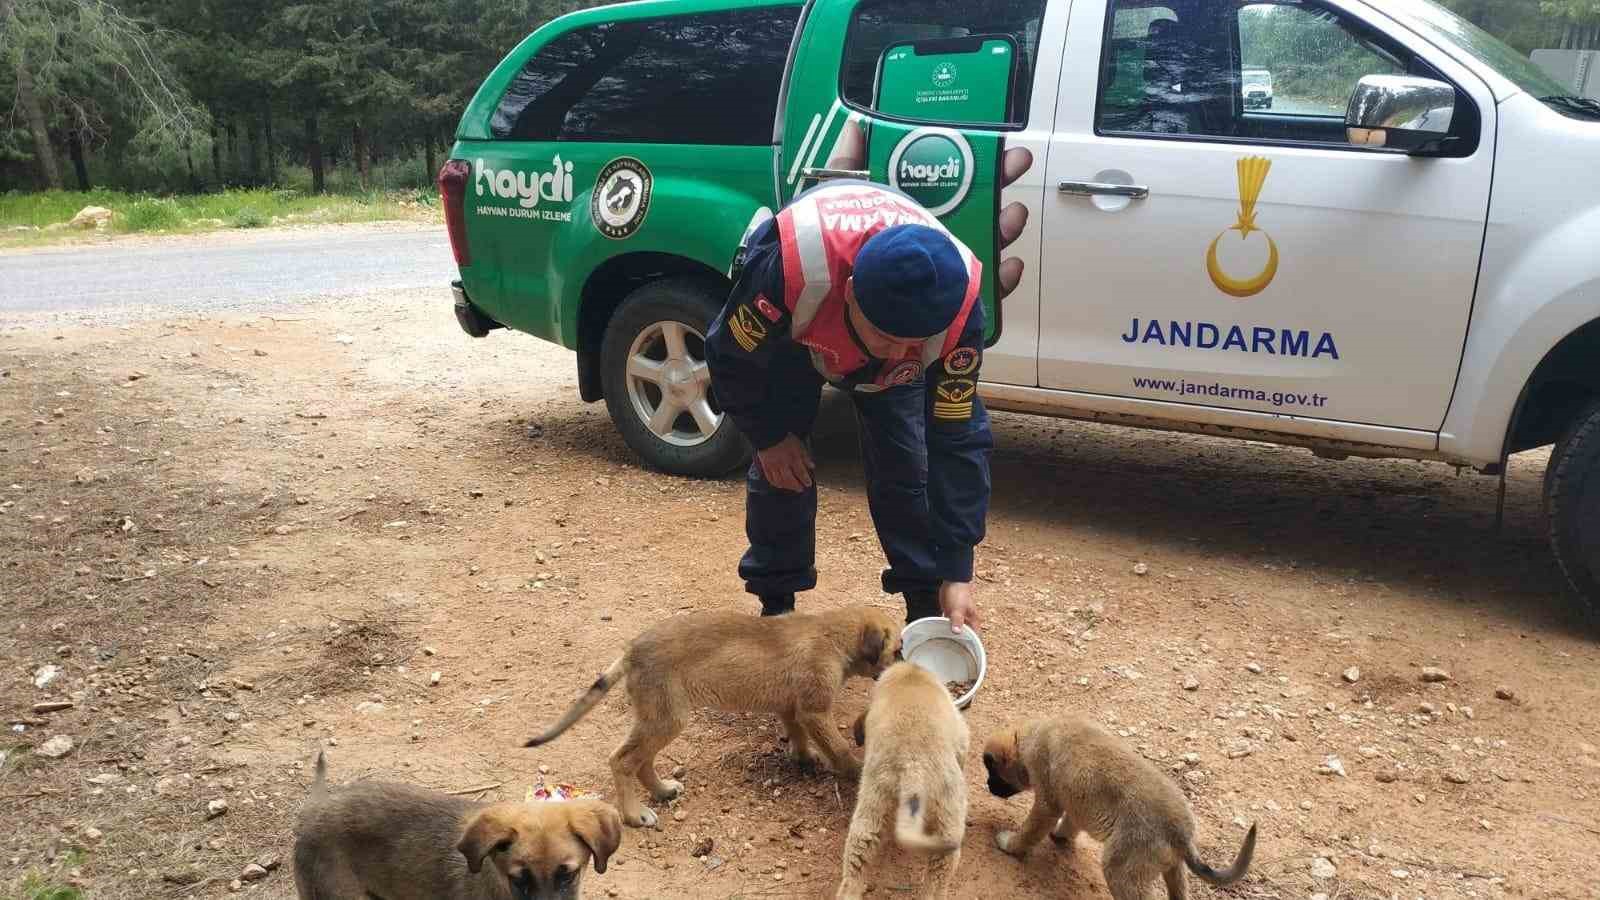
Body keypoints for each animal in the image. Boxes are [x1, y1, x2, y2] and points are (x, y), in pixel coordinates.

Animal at [521, 605, 902, 826]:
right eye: (897, 649)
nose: (904, 667)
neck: (832, 633)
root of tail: (633, 651)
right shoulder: (815, 710)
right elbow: (838, 748)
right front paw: (855, 771)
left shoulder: (792, 707)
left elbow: (797, 735)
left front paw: (803, 758)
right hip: (667, 718)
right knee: (622, 761)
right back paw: (634, 814)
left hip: (658, 718)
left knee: (641, 760)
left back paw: (662, 790)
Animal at [979, 714, 1254, 896]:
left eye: (993, 772)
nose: (988, 786)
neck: (1030, 737)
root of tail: (1180, 833)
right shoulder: (1075, 801)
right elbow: (1070, 822)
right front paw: (1060, 835)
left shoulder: (1047, 804)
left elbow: (1029, 831)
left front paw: (1010, 845)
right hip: (1173, 871)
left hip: (1121, 873)